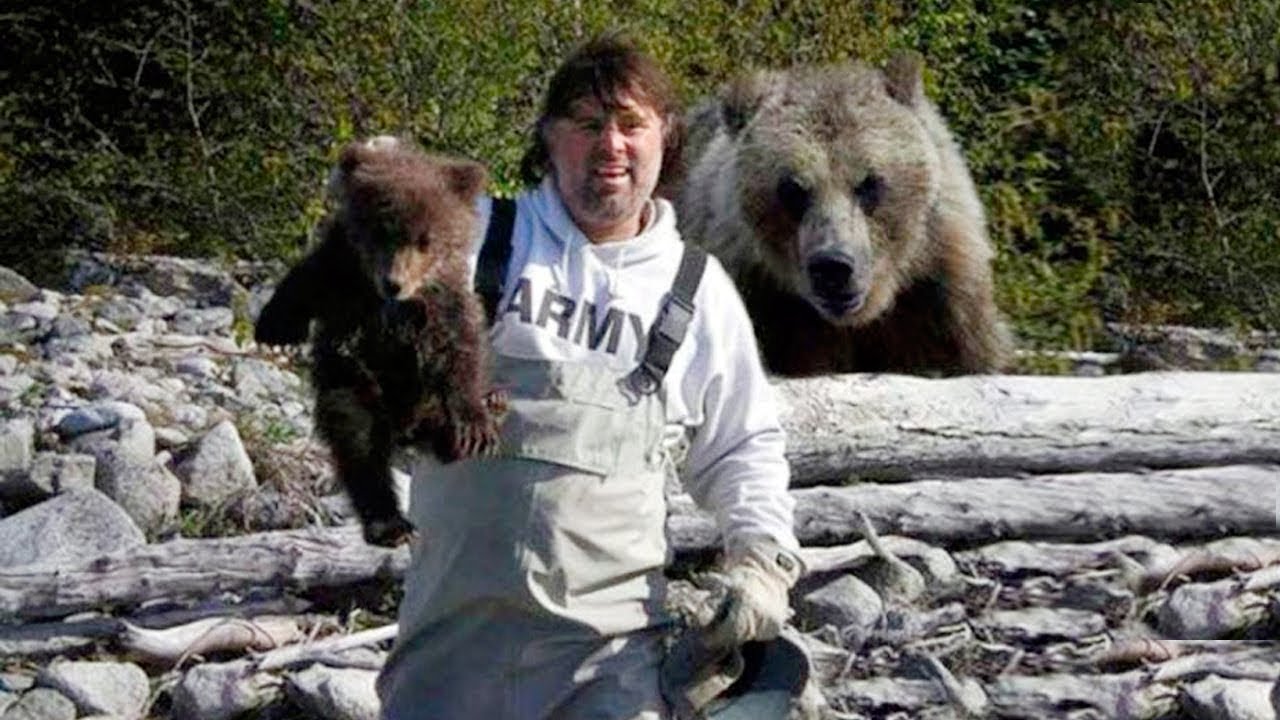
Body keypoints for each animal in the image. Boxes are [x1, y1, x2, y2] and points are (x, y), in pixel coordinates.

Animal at [254, 136, 504, 547]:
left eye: (426, 240)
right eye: (381, 232)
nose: (394, 283)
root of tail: (405, 430)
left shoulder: (443, 302)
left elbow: (461, 347)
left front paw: (474, 427)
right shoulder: (341, 270)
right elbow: (303, 281)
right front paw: (274, 328)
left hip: (423, 403)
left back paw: (491, 405)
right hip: (356, 385)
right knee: (359, 445)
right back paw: (390, 524)